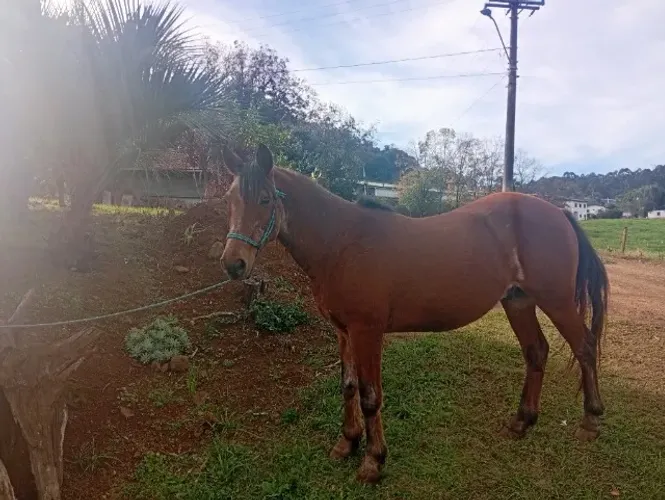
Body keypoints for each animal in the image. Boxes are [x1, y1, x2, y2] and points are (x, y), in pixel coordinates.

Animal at [219, 144, 609, 485]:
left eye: (265, 199)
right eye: (230, 200)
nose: (233, 263)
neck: (342, 242)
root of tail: (559, 212)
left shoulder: (367, 332)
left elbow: (370, 396)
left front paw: (373, 461)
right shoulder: (343, 331)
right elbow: (347, 387)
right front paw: (346, 443)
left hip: (556, 301)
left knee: (585, 348)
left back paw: (590, 421)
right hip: (518, 301)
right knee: (536, 352)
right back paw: (522, 422)